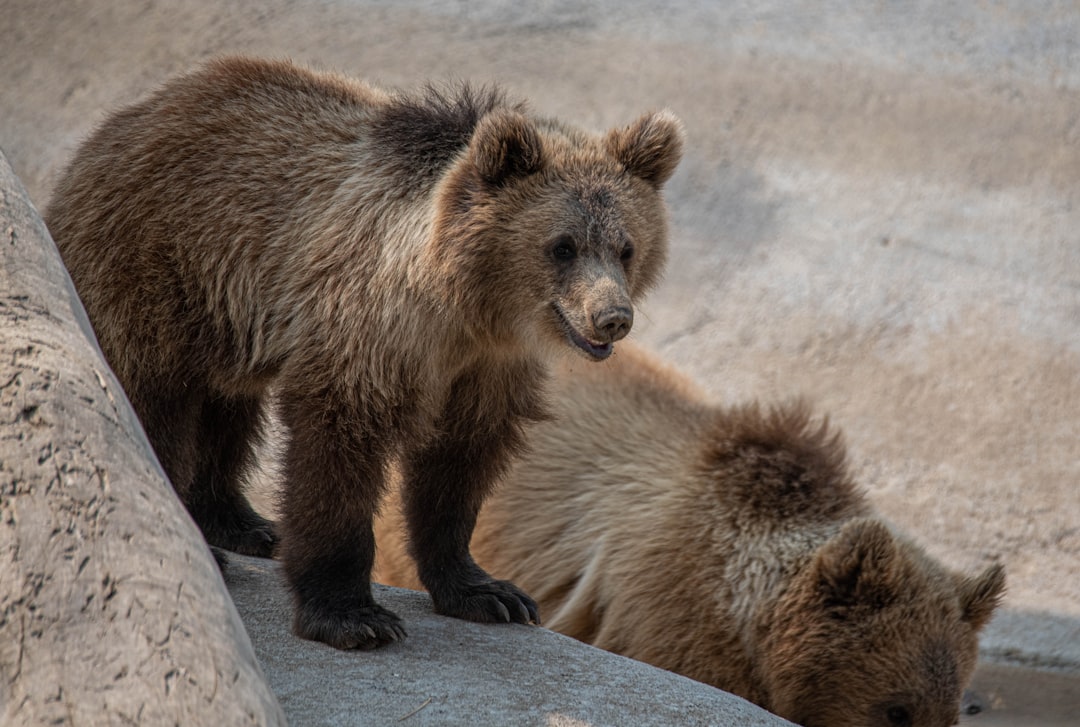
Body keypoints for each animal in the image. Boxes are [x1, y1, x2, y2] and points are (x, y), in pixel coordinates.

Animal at [44, 56, 684, 650]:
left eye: (626, 247)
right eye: (562, 246)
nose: (612, 317)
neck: (466, 306)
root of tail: (117, 124)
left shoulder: (483, 368)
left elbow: (459, 463)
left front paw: (489, 592)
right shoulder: (370, 332)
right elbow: (339, 451)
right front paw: (352, 614)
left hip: (229, 314)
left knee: (226, 403)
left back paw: (243, 523)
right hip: (158, 265)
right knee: (155, 398)